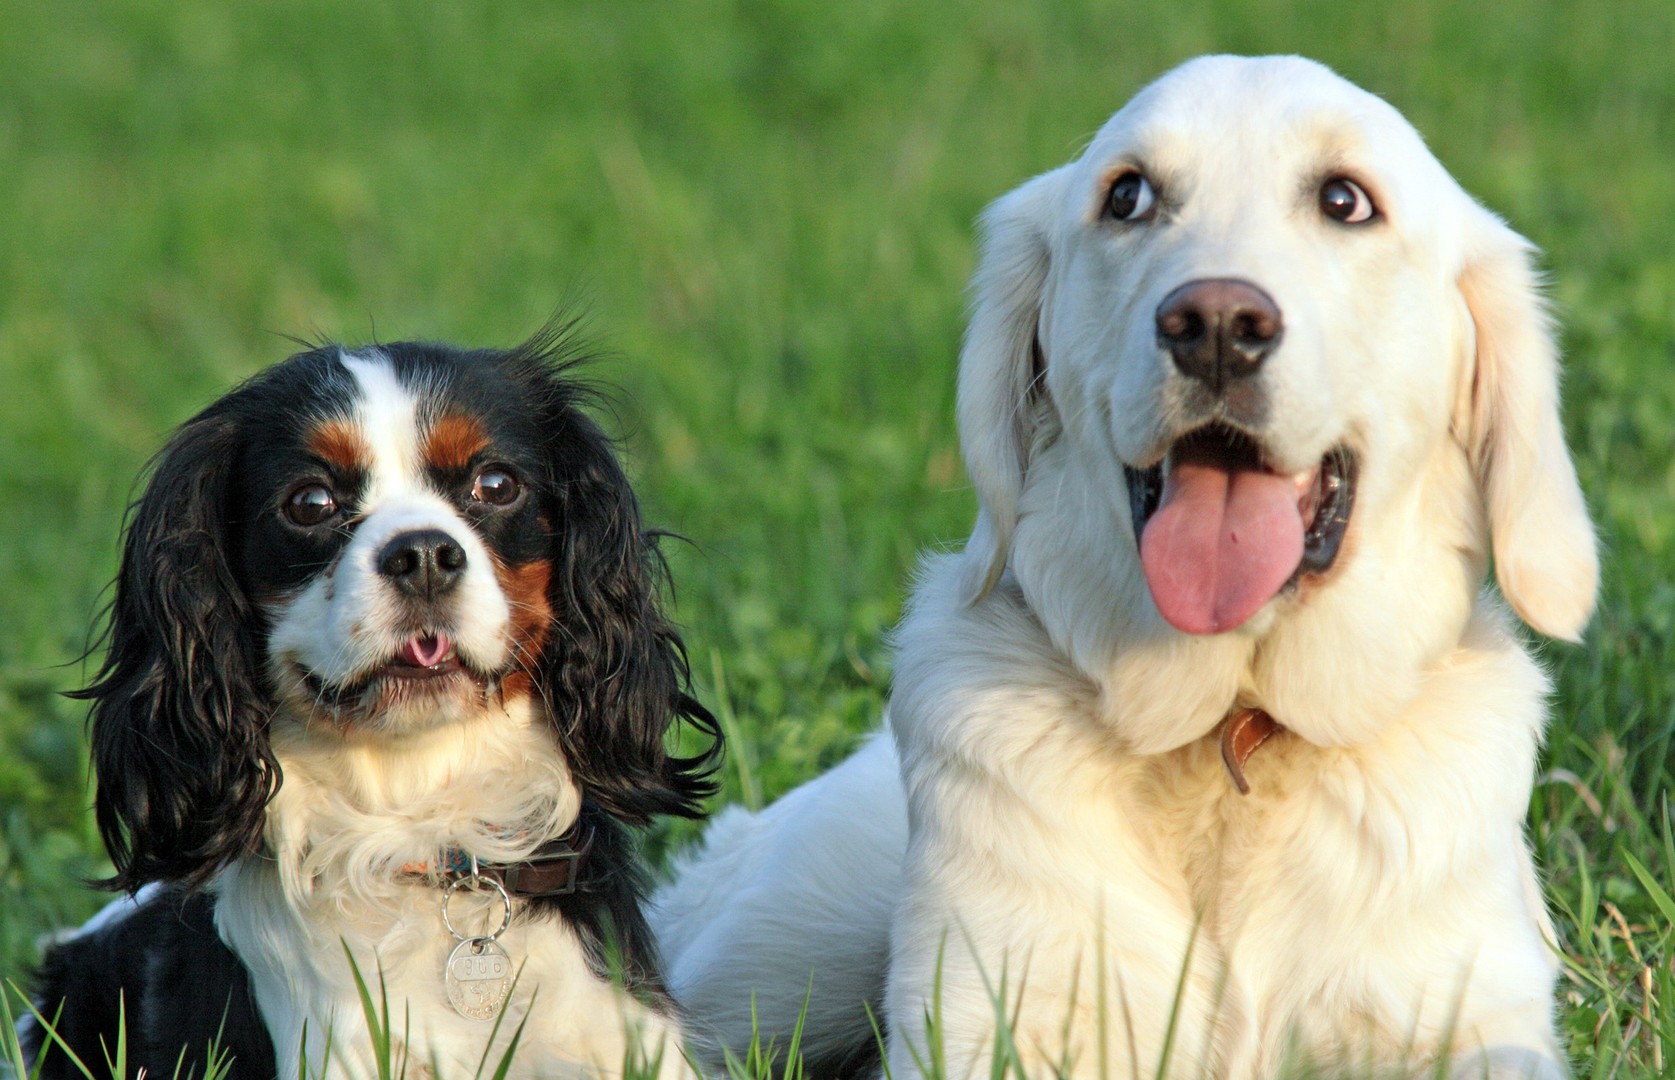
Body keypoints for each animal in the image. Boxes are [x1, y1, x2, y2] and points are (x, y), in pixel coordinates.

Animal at [653, 55, 1596, 1080]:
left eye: (1345, 201)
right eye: (1127, 196)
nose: (1215, 324)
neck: (1227, 735)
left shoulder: (1465, 1011)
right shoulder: (993, 1011)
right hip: (781, 962)